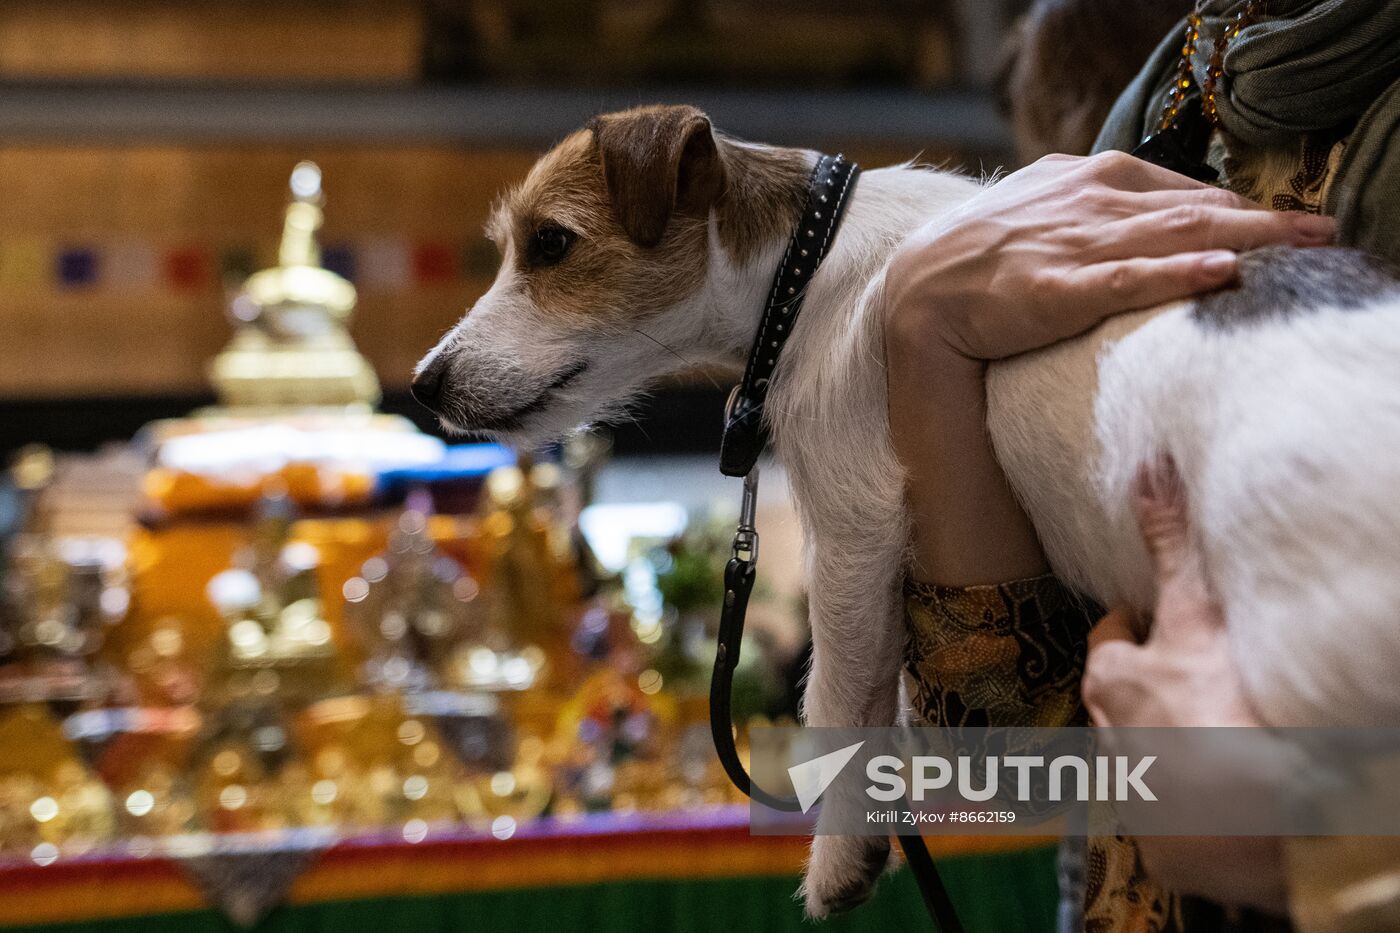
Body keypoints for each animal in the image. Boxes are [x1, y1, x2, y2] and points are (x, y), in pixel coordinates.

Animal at [408, 105, 1400, 913]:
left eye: (551, 243)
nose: (423, 384)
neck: (804, 264)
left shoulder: (853, 527)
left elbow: (838, 696)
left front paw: (842, 854)